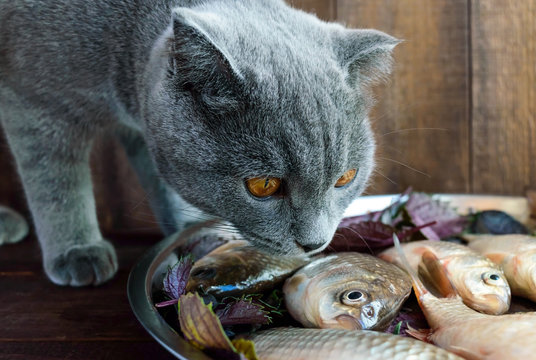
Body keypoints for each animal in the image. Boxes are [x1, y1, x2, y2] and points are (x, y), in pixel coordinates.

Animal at [0, 0, 398, 286]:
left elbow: (166, 187)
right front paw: (78, 251)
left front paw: (192, 239)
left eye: (345, 178)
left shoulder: (146, 130)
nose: (314, 243)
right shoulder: (36, 101)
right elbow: (57, 184)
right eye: (264, 186)